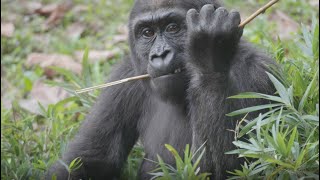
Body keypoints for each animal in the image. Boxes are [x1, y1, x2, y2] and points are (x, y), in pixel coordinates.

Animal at [46, 0, 276, 179]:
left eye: (172, 28)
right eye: (147, 33)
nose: (159, 55)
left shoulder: (255, 73)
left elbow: (233, 168)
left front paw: (210, 52)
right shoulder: (124, 77)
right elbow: (89, 161)